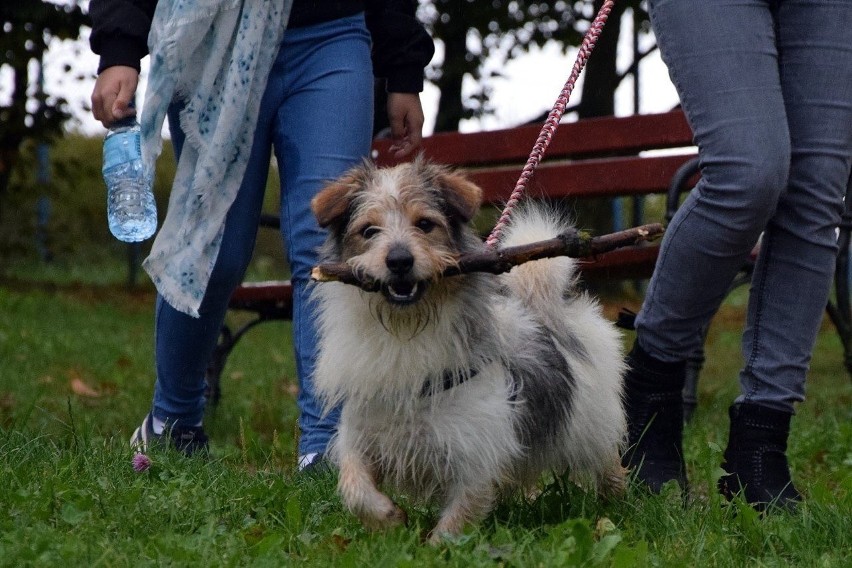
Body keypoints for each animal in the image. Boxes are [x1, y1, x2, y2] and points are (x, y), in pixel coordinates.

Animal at [312, 158, 624, 540]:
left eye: (425, 224)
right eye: (369, 231)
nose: (399, 260)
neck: (406, 330)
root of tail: (539, 304)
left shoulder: (475, 450)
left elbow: (458, 517)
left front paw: (435, 545)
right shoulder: (361, 433)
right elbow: (354, 486)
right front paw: (389, 519)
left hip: (591, 421)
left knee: (606, 458)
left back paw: (615, 503)